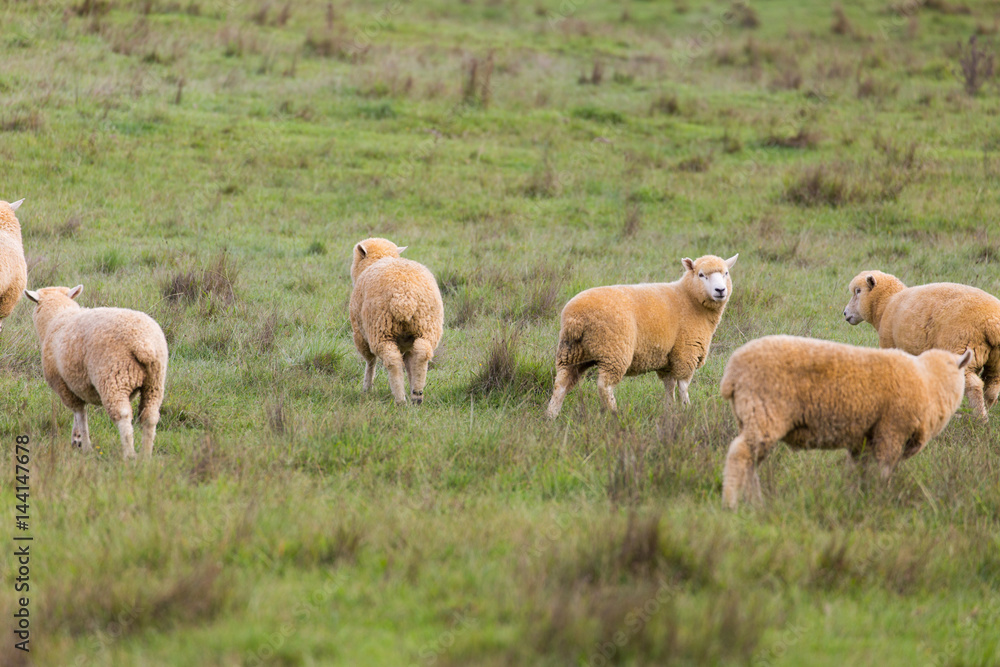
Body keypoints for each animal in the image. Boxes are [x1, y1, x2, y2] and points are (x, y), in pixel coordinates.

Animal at [21, 284, 169, 462]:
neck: (58, 317)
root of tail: (142, 343)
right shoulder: (75, 385)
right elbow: (78, 415)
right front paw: (77, 439)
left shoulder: (64, 385)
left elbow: (80, 414)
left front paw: (84, 445)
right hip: (155, 381)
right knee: (150, 417)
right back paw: (145, 455)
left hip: (113, 377)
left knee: (123, 415)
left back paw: (129, 454)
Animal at [352, 240, 446, 408]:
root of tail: (404, 296)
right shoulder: (408, 343)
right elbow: (409, 364)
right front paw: (411, 384)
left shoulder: (360, 334)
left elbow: (370, 361)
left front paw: (367, 387)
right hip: (427, 327)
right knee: (422, 353)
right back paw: (417, 394)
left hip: (380, 329)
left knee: (392, 360)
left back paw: (400, 398)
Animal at [544, 254, 740, 418]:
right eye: (701, 275)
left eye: (726, 273)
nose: (720, 290)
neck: (690, 299)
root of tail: (575, 318)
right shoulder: (686, 352)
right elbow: (683, 386)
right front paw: (686, 409)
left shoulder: (667, 358)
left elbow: (669, 386)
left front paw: (670, 411)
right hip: (614, 351)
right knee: (604, 386)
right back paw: (615, 415)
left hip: (572, 352)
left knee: (561, 384)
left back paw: (551, 416)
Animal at [724, 336, 972, 508]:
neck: (929, 381)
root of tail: (732, 372)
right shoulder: (891, 430)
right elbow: (883, 470)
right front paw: (879, 498)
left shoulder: (863, 440)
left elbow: (859, 471)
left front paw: (856, 497)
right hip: (765, 412)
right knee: (739, 455)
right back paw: (732, 504)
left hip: (750, 415)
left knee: (751, 463)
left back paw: (755, 503)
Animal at [844, 272, 1000, 422]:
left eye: (858, 291)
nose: (845, 313)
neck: (886, 304)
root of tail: (991, 321)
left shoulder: (889, 344)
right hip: (995, 359)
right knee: (992, 385)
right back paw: (987, 411)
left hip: (963, 347)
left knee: (974, 385)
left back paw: (980, 418)